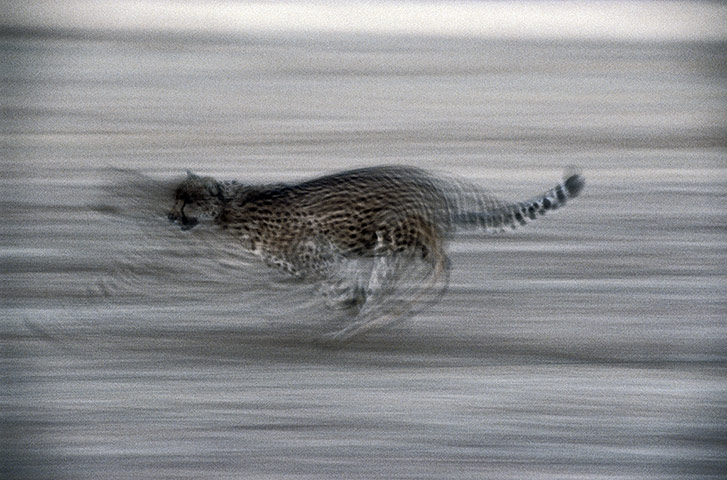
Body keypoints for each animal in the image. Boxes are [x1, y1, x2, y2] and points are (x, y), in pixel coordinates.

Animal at [168, 165, 585, 343]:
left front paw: (346, 311)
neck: (232, 209)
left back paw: (390, 310)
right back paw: (395, 311)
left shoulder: (319, 256)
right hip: (397, 247)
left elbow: (333, 288)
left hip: (393, 234)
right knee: (427, 267)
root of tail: (432, 183)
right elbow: (308, 290)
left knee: (440, 265)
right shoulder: (309, 265)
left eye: (188, 201)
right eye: (175, 198)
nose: (169, 216)